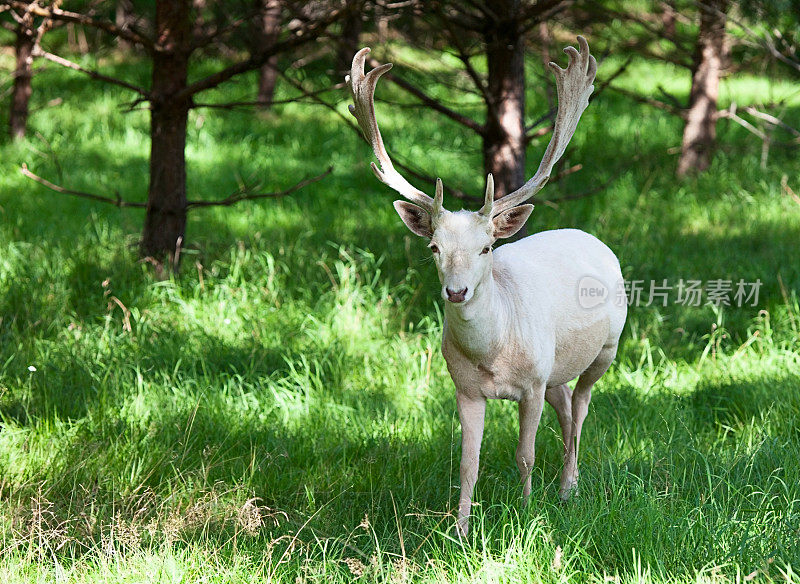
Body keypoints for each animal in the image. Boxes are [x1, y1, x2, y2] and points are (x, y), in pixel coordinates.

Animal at [346, 36, 628, 536]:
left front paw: (528, 512)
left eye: (486, 247)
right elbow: (467, 462)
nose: (456, 292)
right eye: (434, 246)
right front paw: (459, 530)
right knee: (565, 404)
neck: (493, 356)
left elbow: (525, 454)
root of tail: (591, 236)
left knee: (580, 408)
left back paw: (568, 488)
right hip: (556, 367)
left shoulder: (532, 382)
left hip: (606, 347)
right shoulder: (465, 388)